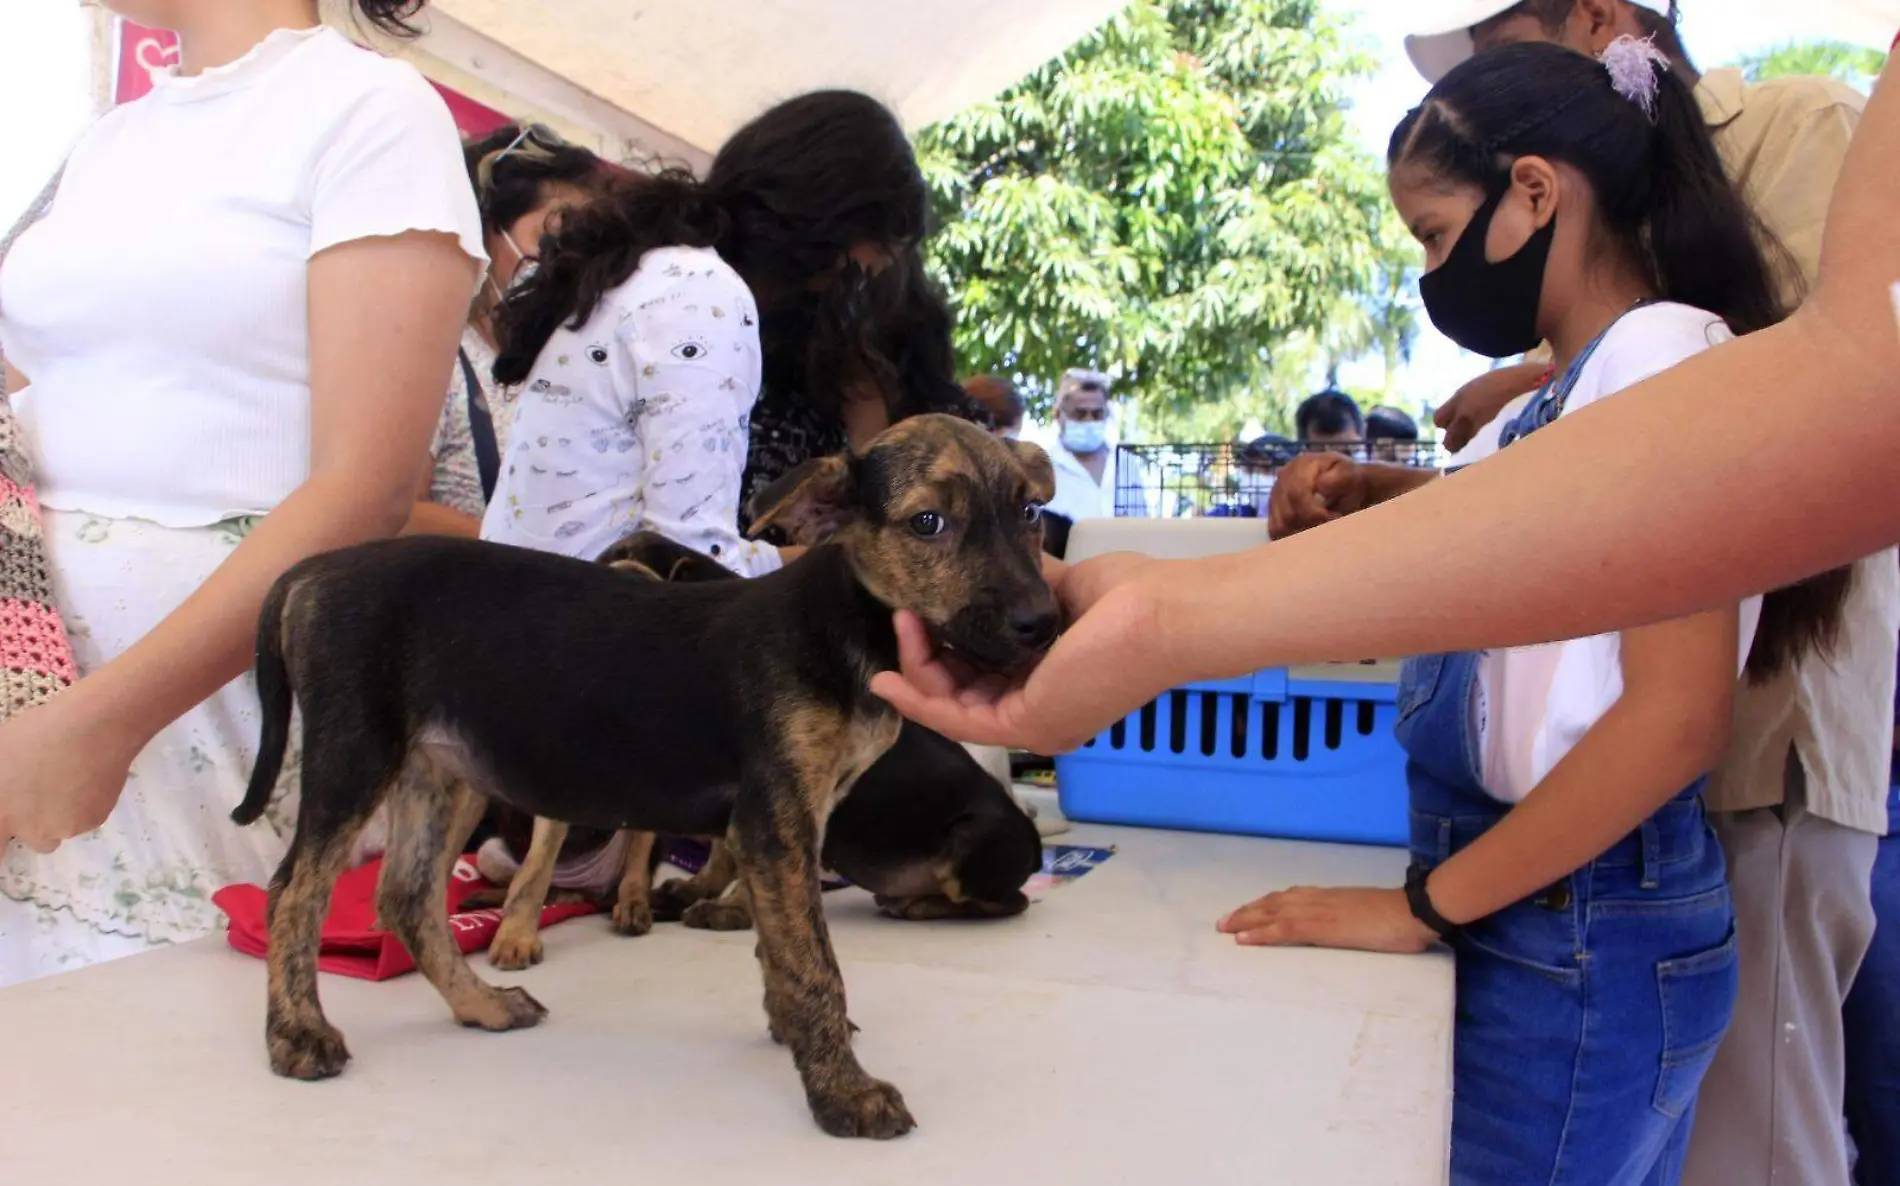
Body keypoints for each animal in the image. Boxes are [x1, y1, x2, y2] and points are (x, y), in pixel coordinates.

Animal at [471, 528, 1041, 965]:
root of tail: (1034, 842)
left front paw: (726, 910)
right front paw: (694, 893)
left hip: (970, 845)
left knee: (1010, 903)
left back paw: (918, 905)